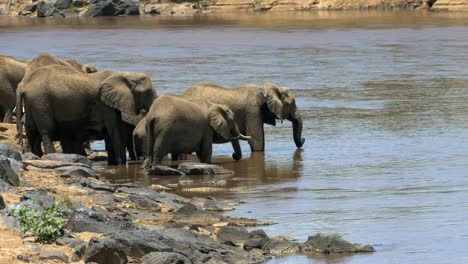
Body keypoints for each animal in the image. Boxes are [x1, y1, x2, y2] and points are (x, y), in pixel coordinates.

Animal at [16, 65, 155, 164]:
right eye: (147, 92)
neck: (124, 74)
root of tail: (24, 86)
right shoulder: (104, 105)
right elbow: (113, 130)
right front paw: (120, 164)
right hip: (41, 103)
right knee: (46, 131)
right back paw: (49, 156)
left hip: (32, 104)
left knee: (32, 131)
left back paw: (35, 156)